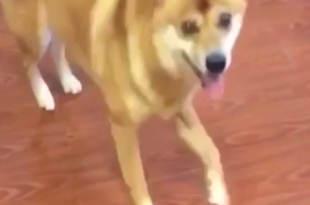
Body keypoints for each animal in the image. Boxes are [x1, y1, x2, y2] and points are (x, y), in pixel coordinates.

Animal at [0, 0, 247, 204]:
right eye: (187, 27)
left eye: (225, 20)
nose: (217, 64)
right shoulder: (123, 127)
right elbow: (137, 180)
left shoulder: (181, 109)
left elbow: (212, 151)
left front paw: (217, 194)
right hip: (36, 34)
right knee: (29, 64)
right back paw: (43, 94)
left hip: (58, 22)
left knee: (58, 47)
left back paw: (67, 79)